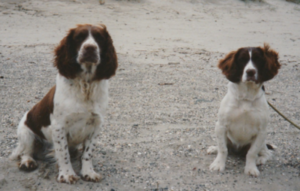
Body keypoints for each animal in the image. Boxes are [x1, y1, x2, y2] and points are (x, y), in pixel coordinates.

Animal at [9, 23, 117, 184]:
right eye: (79, 37)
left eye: (99, 38)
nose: (90, 48)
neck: (85, 85)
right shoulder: (59, 126)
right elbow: (63, 153)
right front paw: (67, 174)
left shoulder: (96, 124)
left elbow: (88, 153)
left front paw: (88, 172)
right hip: (26, 132)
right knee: (26, 151)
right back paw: (27, 162)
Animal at [207, 44, 280, 177]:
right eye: (242, 60)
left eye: (258, 59)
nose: (250, 72)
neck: (247, 97)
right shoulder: (221, 126)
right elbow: (223, 149)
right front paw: (218, 164)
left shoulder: (262, 131)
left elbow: (252, 152)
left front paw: (251, 168)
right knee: (225, 146)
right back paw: (214, 148)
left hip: (263, 142)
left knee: (266, 153)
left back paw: (260, 159)